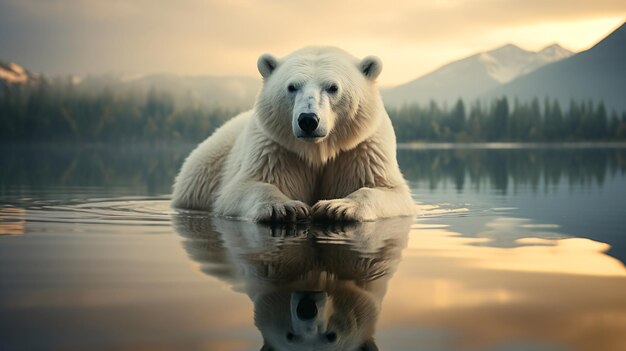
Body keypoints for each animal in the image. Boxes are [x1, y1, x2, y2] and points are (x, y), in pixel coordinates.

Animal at [172, 46, 414, 223]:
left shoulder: (361, 149)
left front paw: (337, 207)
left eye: (333, 87)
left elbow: (387, 190)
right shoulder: (276, 148)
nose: (308, 120)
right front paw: (285, 207)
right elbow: (244, 187)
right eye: (292, 86)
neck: (318, 149)